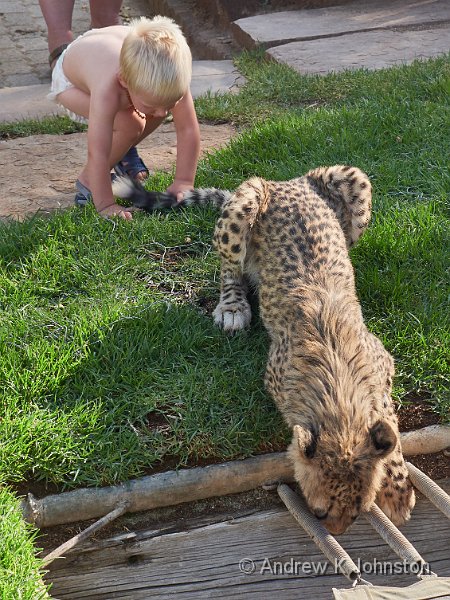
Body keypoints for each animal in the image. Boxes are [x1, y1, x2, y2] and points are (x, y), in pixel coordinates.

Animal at [114, 168, 416, 536]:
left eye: (358, 512)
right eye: (319, 512)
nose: (336, 533)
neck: (337, 378)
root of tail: (288, 182)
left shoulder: (381, 364)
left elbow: (389, 422)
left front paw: (397, 488)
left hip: (354, 186)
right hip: (244, 205)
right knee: (229, 267)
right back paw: (232, 306)